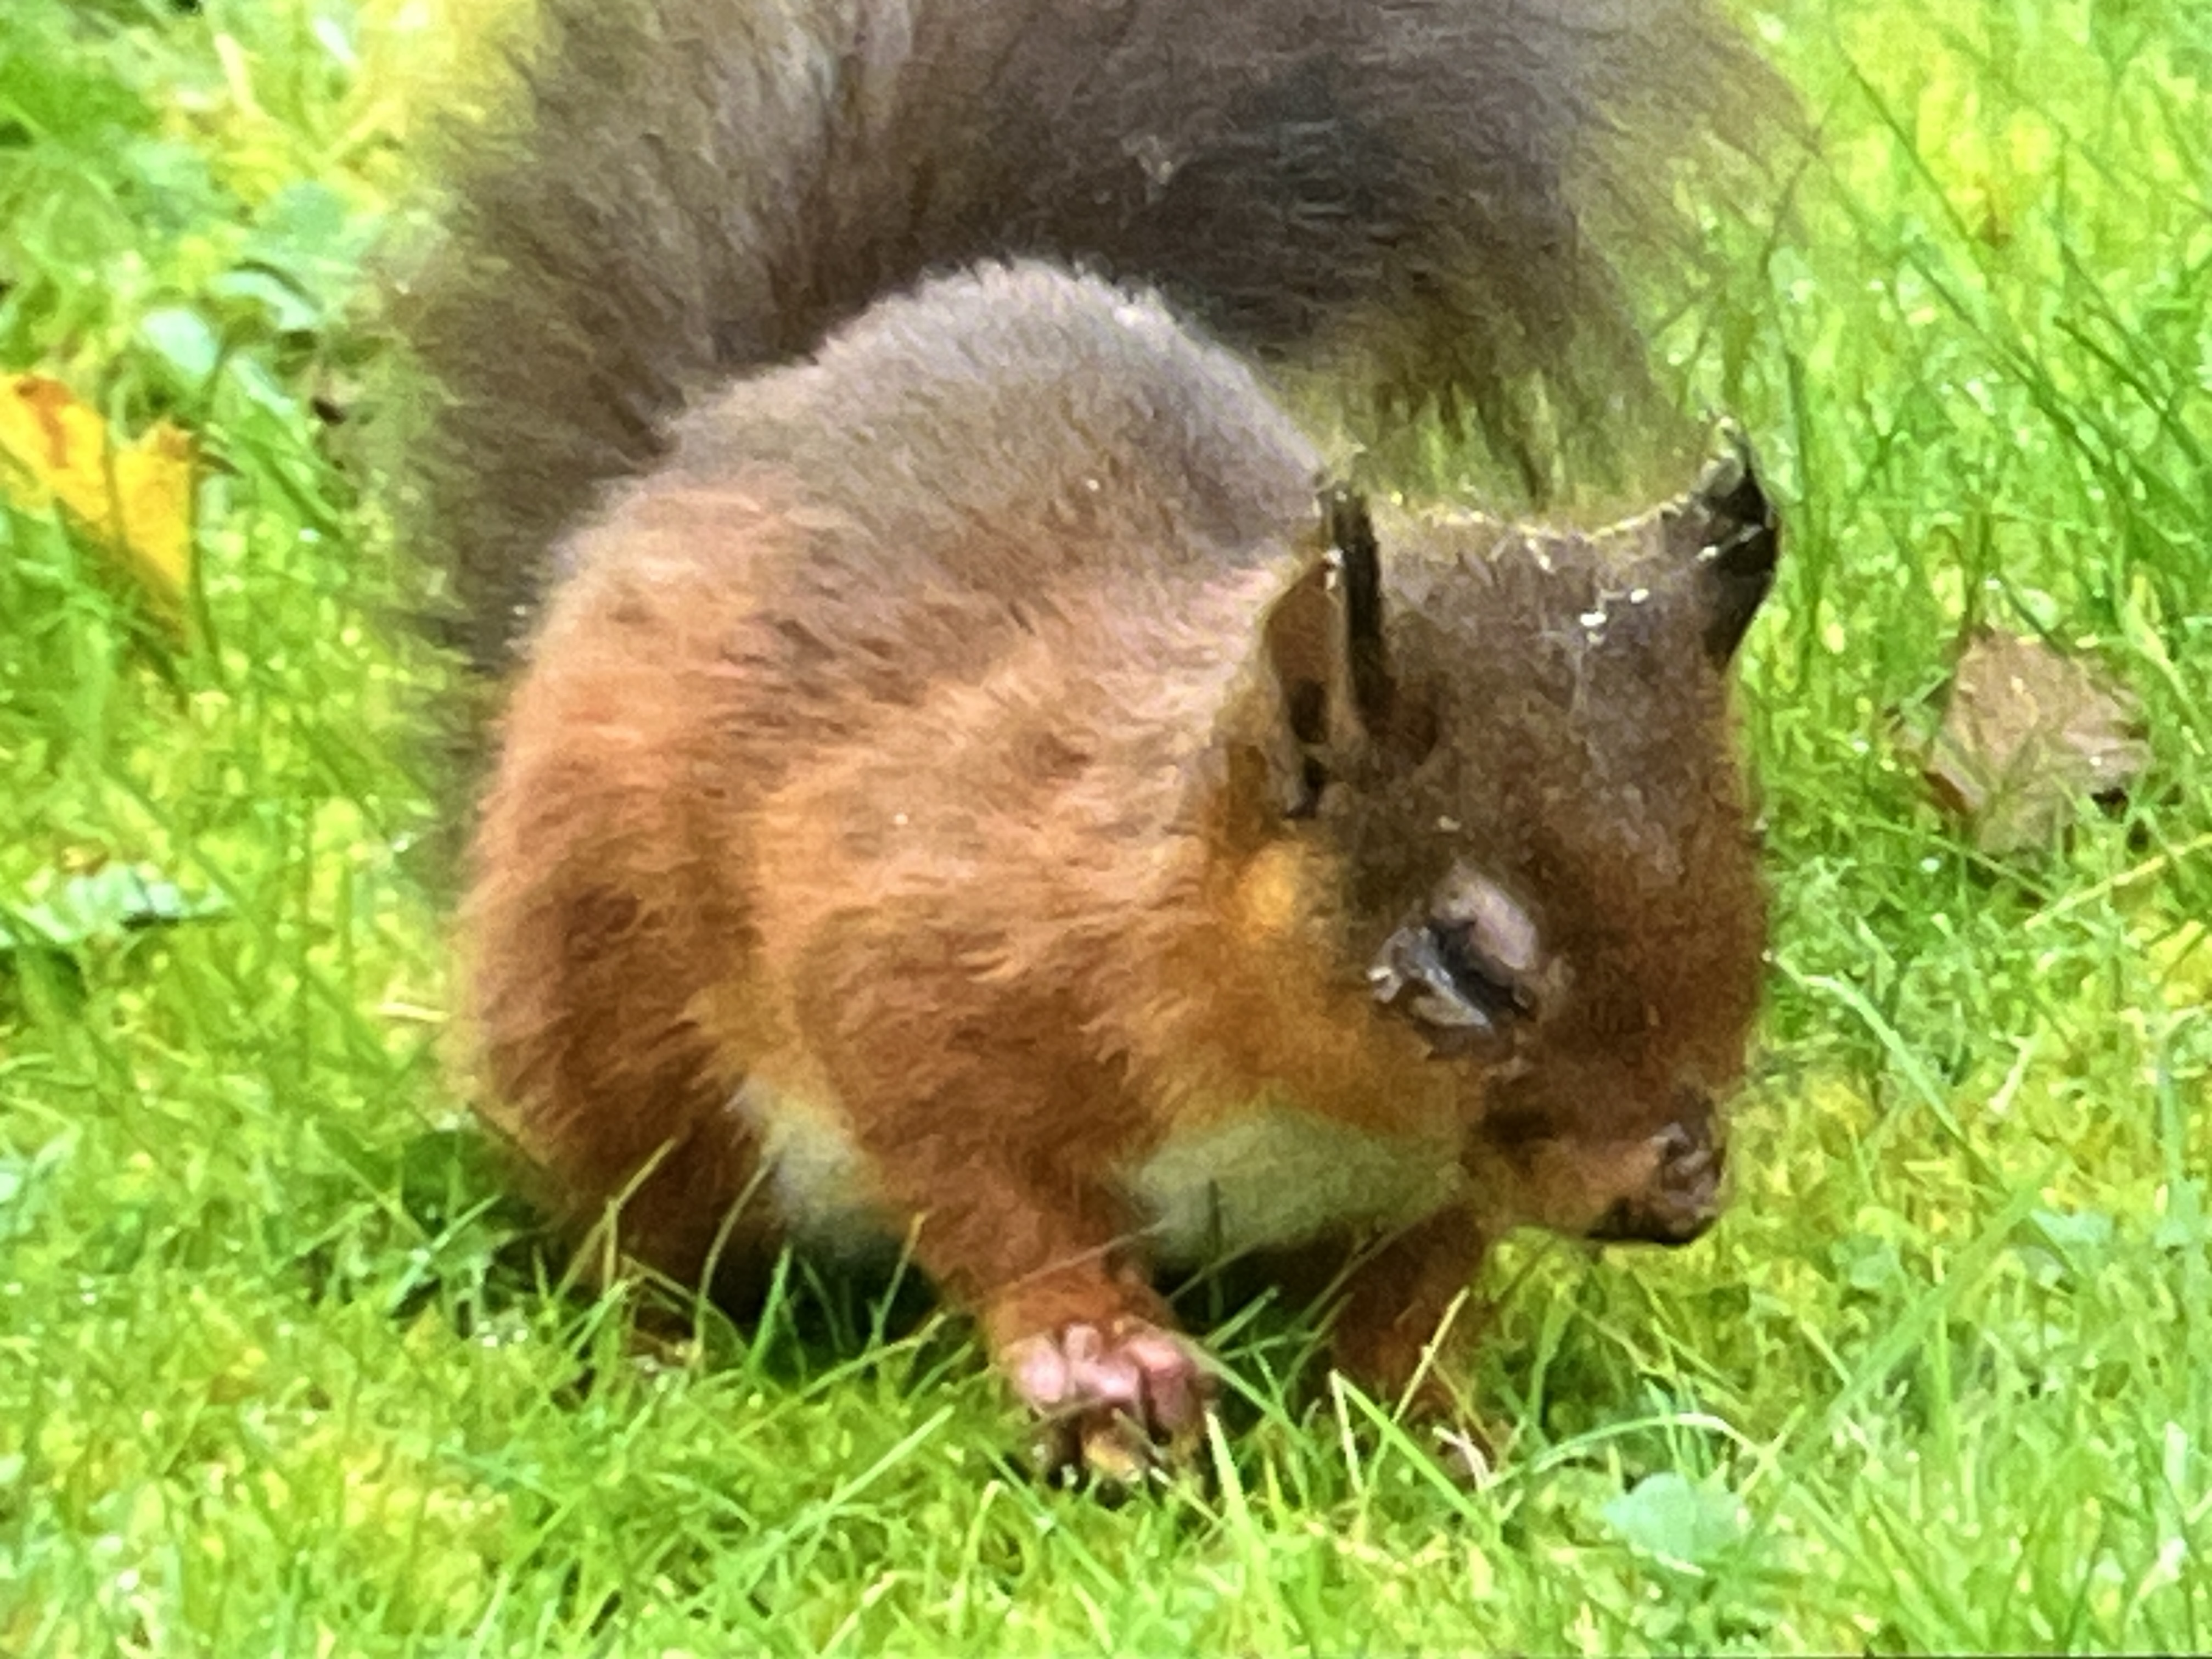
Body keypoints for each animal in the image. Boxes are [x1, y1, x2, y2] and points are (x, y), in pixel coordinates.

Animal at [396, 0, 1788, 1479]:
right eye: (1466, 963)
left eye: (1752, 882)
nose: (1674, 1185)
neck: (1313, 1107)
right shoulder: (934, 937)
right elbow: (983, 1180)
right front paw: (1100, 1352)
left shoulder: (1427, 1179)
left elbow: (1415, 1287)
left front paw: (1426, 1421)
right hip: (606, 1011)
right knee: (636, 1223)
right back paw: (665, 1354)